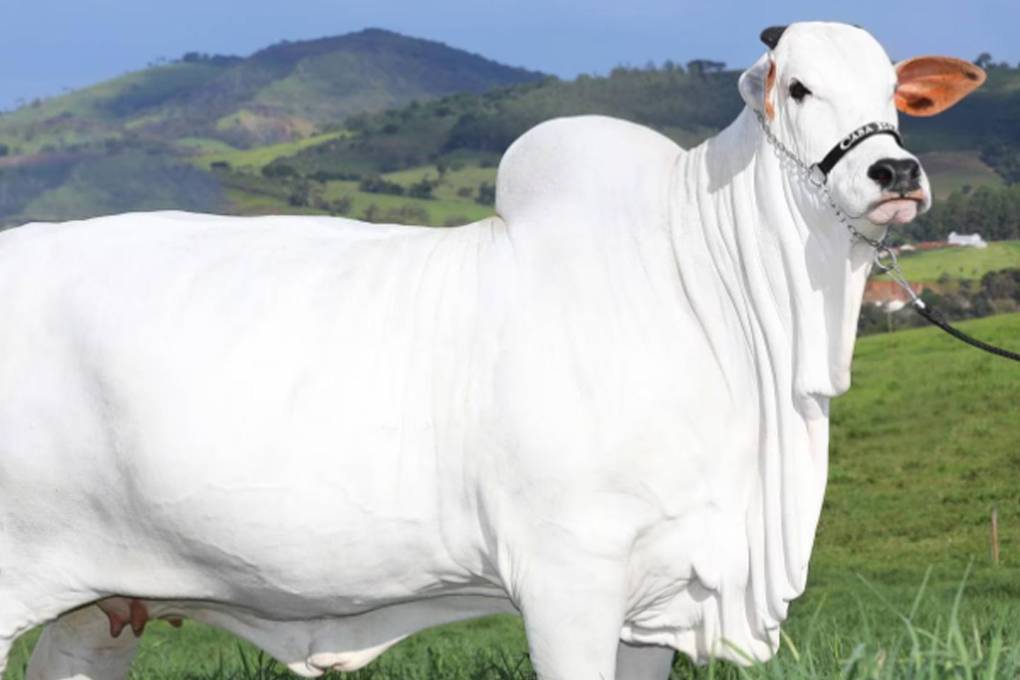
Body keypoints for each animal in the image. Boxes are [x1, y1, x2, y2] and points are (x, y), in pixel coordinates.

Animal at [0, 21, 984, 680]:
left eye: (895, 94)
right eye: (801, 88)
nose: (896, 174)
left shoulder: (657, 600)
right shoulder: (567, 579)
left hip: (98, 609)